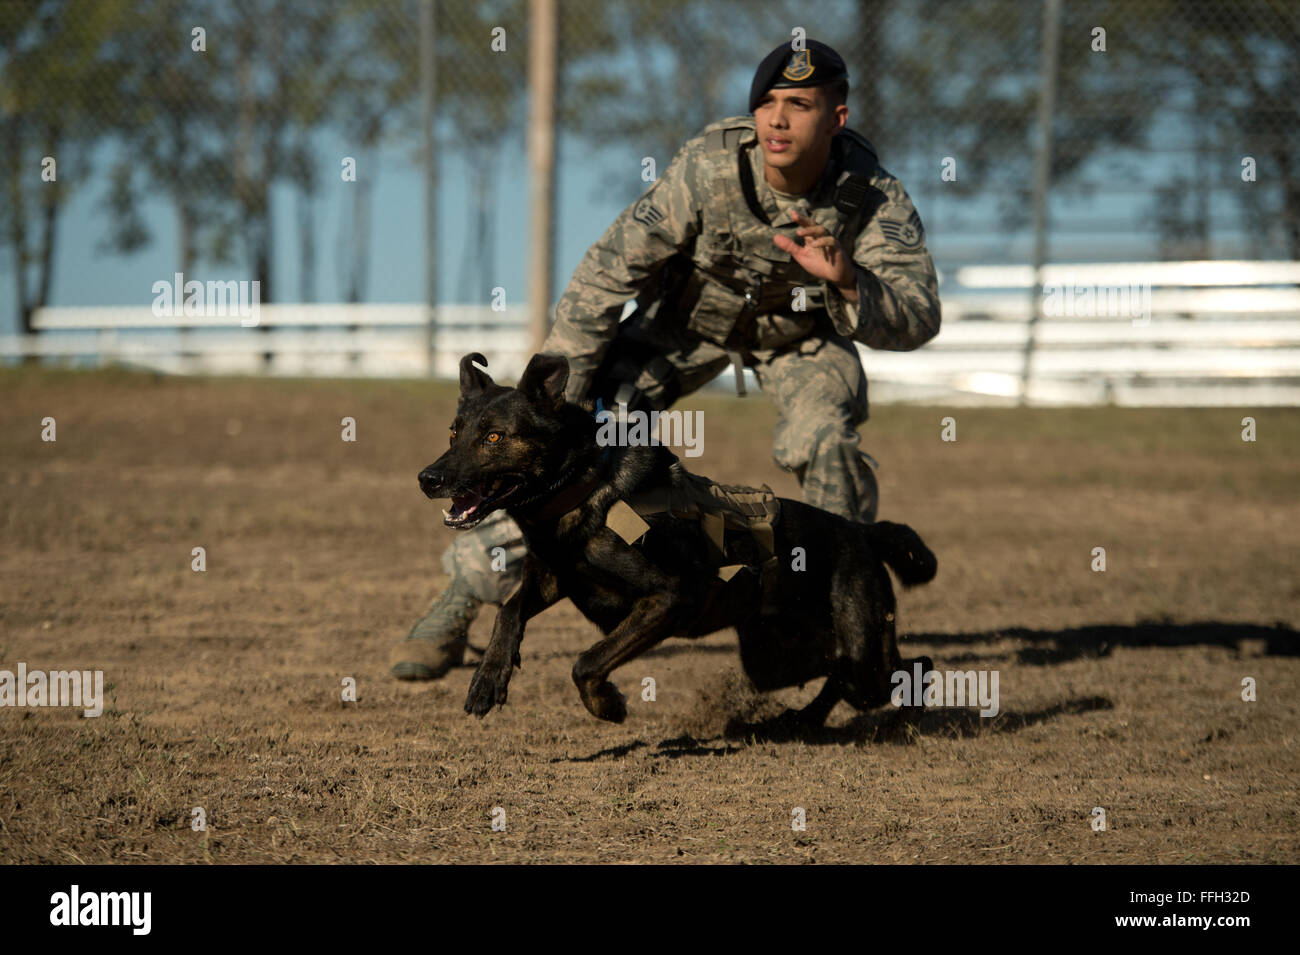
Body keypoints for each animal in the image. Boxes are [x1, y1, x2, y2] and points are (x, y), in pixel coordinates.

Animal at [416, 356, 935, 727]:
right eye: (454, 432)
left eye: (494, 437)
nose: (428, 478)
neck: (581, 485)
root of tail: (860, 531)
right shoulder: (553, 579)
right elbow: (508, 611)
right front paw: (488, 679)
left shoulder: (666, 599)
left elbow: (586, 662)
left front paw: (607, 705)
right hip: (774, 658)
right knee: (839, 677)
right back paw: (799, 721)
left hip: (859, 649)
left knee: (905, 668)